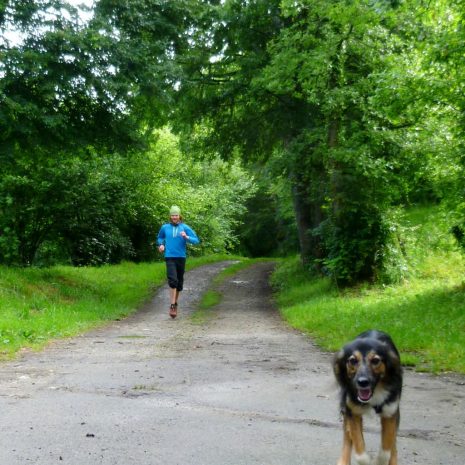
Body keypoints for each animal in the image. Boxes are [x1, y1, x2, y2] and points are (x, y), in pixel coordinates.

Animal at [332, 330, 400, 464]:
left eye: (375, 360)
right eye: (352, 360)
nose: (363, 382)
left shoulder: (390, 412)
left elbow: (387, 449)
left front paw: (380, 461)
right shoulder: (352, 411)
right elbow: (359, 451)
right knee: (347, 436)